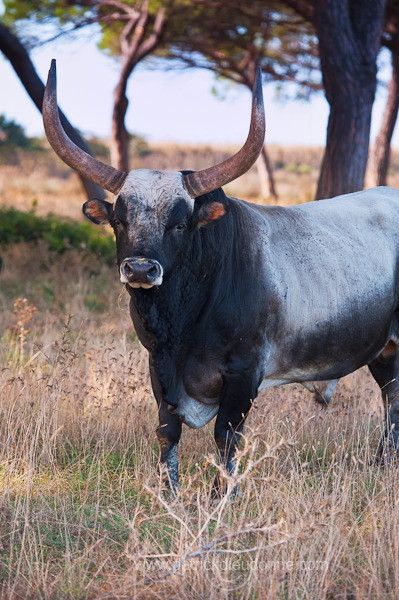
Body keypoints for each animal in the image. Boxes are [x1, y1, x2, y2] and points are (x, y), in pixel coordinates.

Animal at [43, 59, 399, 492]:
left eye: (179, 224)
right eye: (119, 221)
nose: (141, 268)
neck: (183, 322)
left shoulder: (244, 374)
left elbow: (226, 436)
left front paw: (222, 494)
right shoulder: (158, 367)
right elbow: (167, 431)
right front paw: (169, 491)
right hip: (385, 350)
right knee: (392, 397)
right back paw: (382, 463)